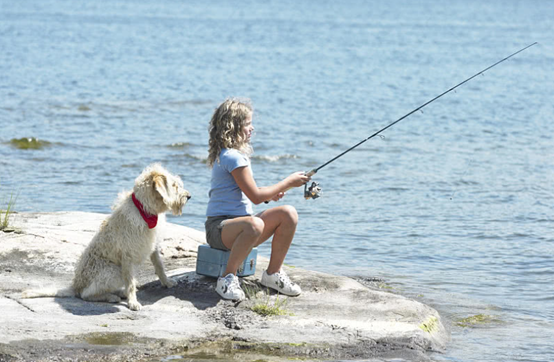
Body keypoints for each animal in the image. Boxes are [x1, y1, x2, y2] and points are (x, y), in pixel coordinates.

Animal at [22, 163, 190, 310]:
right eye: (174, 185)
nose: (189, 196)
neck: (145, 211)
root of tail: (75, 286)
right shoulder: (127, 257)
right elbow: (130, 283)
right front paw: (133, 303)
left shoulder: (153, 247)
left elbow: (159, 266)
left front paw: (167, 282)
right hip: (113, 271)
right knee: (86, 294)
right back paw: (111, 296)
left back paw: (119, 293)